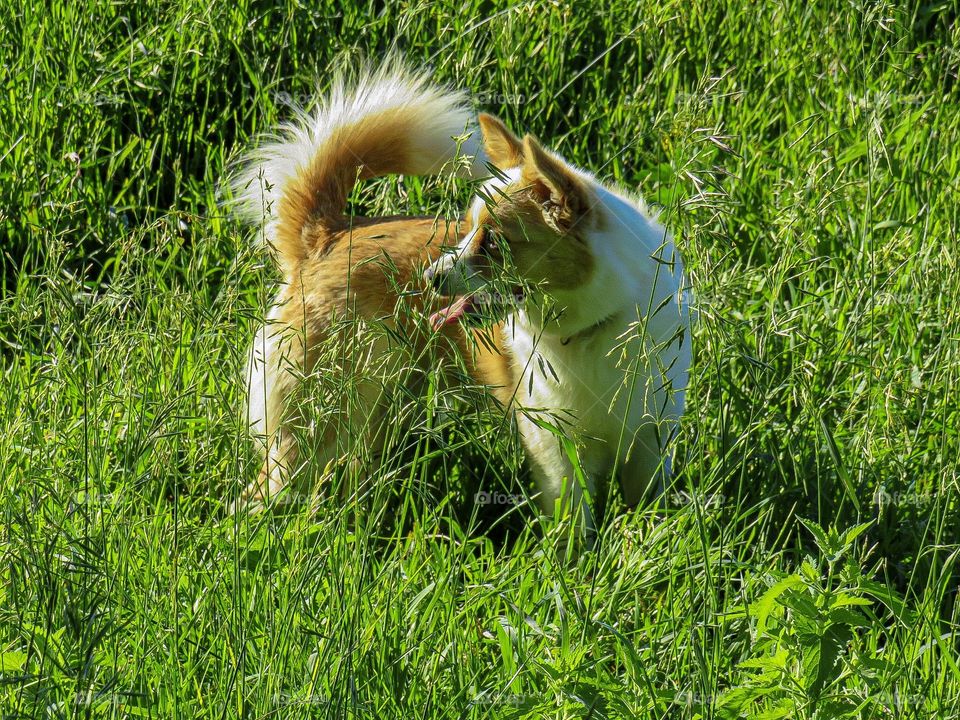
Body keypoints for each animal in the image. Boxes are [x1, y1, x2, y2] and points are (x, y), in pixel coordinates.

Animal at [428, 114, 688, 540]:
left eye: (495, 243)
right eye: (464, 232)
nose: (430, 277)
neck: (590, 332)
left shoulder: (649, 439)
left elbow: (647, 503)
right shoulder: (553, 446)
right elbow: (573, 521)